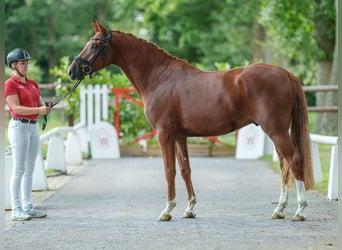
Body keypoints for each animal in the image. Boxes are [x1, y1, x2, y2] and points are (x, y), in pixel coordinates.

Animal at [68, 20, 314, 222]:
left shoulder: (164, 133)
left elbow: (169, 170)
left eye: (95, 45)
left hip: (276, 130)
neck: (159, 77)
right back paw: (279, 210)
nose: (72, 71)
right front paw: (190, 209)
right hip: (275, 131)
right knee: (284, 165)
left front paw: (167, 211)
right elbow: (185, 169)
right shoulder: (179, 136)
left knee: (294, 160)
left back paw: (300, 211)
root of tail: (286, 74)